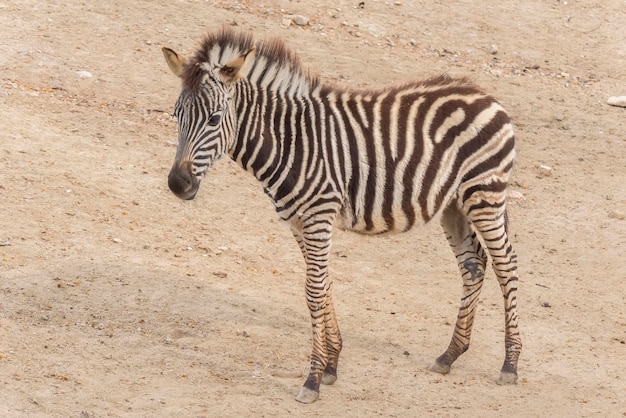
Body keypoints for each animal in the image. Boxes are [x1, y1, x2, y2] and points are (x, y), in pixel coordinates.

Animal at [162, 27, 520, 404]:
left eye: (214, 119)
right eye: (176, 114)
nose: (178, 184)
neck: (289, 141)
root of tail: (487, 96)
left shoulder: (319, 215)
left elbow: (314, 290)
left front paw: (313, 379)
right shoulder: (298, 220)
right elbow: (323, 286)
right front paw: (332, 364)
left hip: (484, 194)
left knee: (506, 264)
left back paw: (510, 364)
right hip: (454, 204)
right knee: (473, 266)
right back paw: (449, 355)